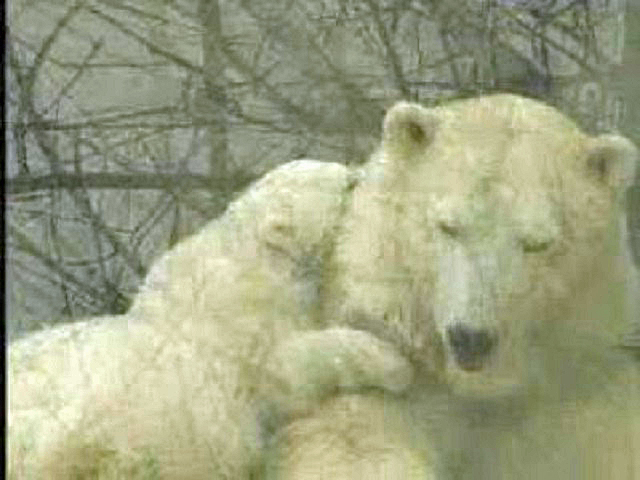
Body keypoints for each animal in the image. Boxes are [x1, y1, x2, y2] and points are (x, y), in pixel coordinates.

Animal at [6, 94, 640, 480]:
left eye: (537, 244)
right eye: (446, 226)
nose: (470, 339)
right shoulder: (246, 336)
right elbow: (299, 379)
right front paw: (389, 364)